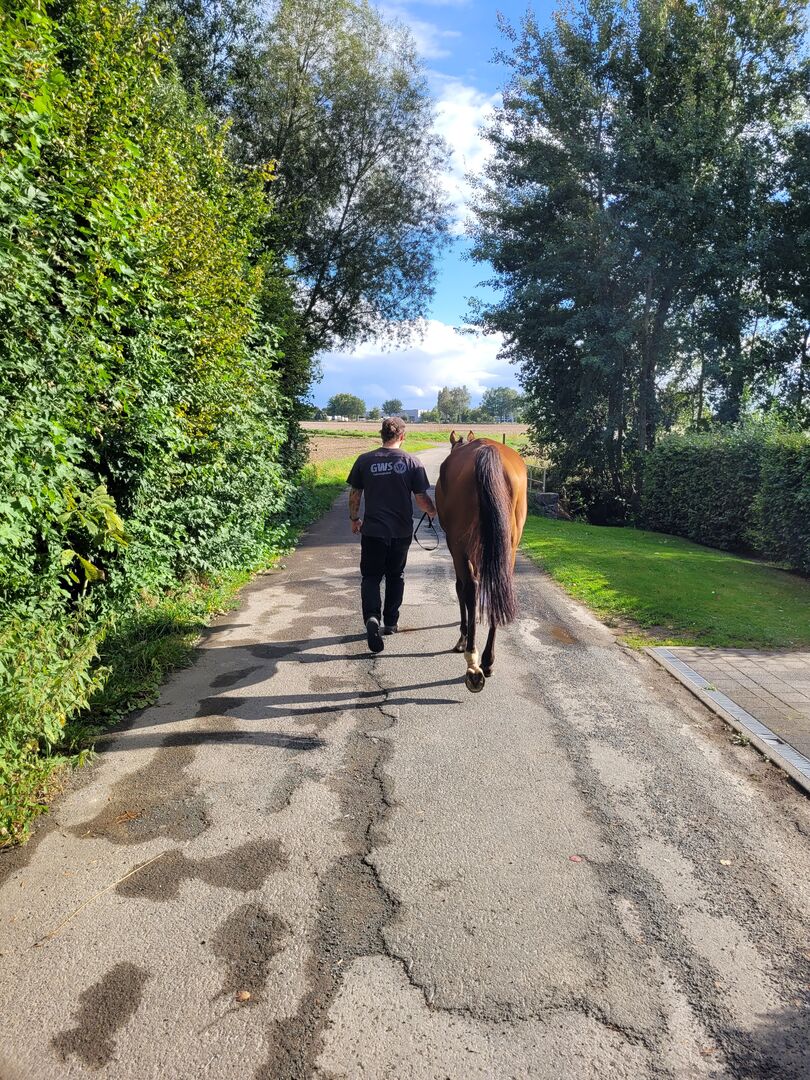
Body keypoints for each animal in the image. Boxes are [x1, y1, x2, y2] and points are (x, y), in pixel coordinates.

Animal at [435, 430, 528, 693]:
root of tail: (488, 453)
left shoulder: (457, 547)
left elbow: (462, 588)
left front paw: (463, 635)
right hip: (508, 546)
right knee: (498, 586)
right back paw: (486, 661)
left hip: (461, 546)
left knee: (471, 587)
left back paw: (472, 660)